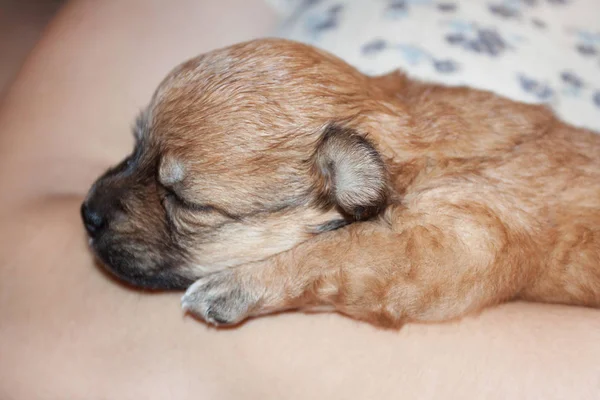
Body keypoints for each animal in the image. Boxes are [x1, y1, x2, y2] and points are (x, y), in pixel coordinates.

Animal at [82, 37, 600, 326]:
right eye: (134, 144)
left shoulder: (457, 242)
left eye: (187, 203)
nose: (87, 213)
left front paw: (232, 285)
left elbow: (333, 252)